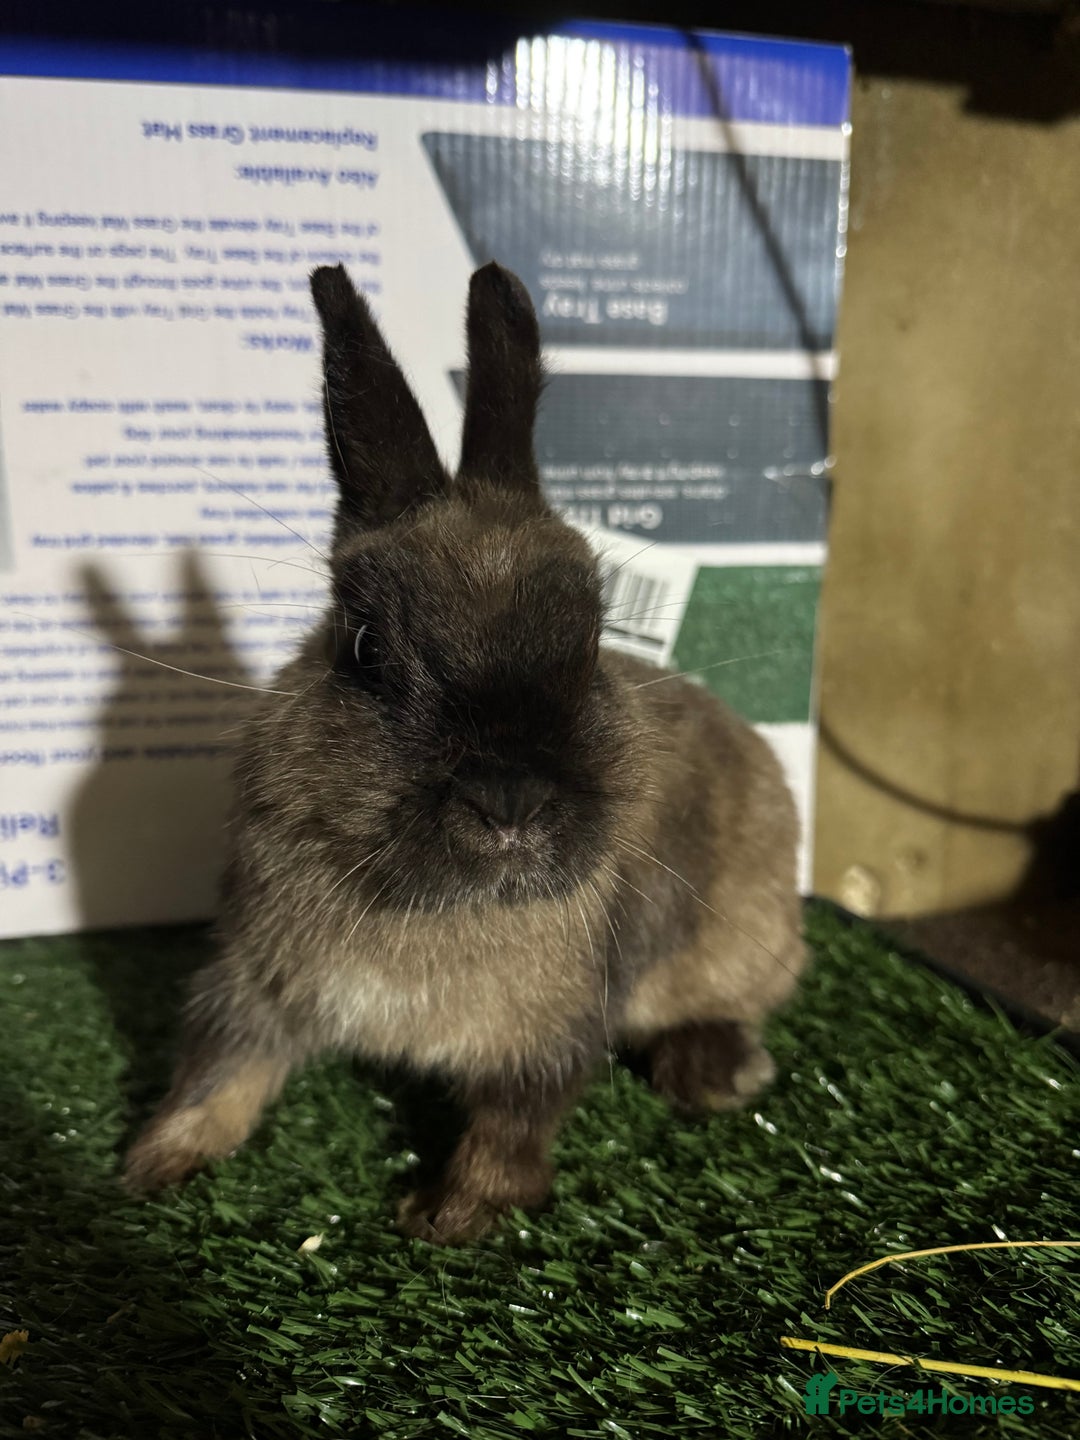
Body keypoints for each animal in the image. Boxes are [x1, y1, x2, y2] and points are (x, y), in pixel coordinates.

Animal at [124, 260, 806, 1243]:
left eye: (590, 643)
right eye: (366, 648)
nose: (511, 801)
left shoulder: (548, 1033)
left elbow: (514, 1122)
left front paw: (452, 1215)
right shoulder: (249, 980)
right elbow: (220, 1074)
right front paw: (154, 1167)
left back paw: (718, 1072)